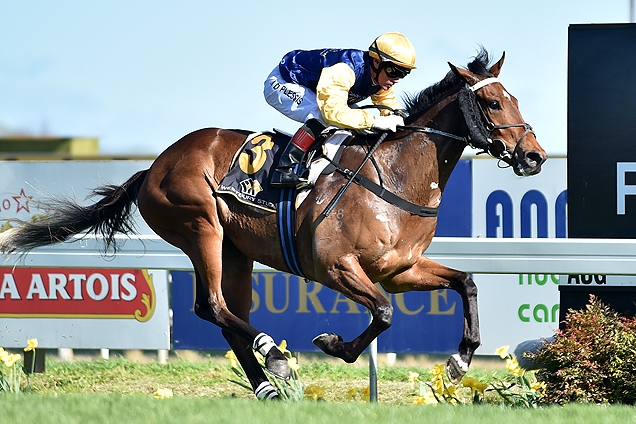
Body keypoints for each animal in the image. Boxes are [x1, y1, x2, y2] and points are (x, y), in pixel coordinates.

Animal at [0, 48, 548, 398]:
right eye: (493, 103)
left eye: (516, 100)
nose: (535, 156)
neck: (395, 175)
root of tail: (153, 166)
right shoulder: (336, 265)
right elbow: (384, 313)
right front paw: (333, 345)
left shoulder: (400, 269)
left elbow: (466, 282)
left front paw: (458, 364)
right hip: (201, 228)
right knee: (212, 306)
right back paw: (275, 355)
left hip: (236, 252)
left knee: (225, 313)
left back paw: (266, 382)